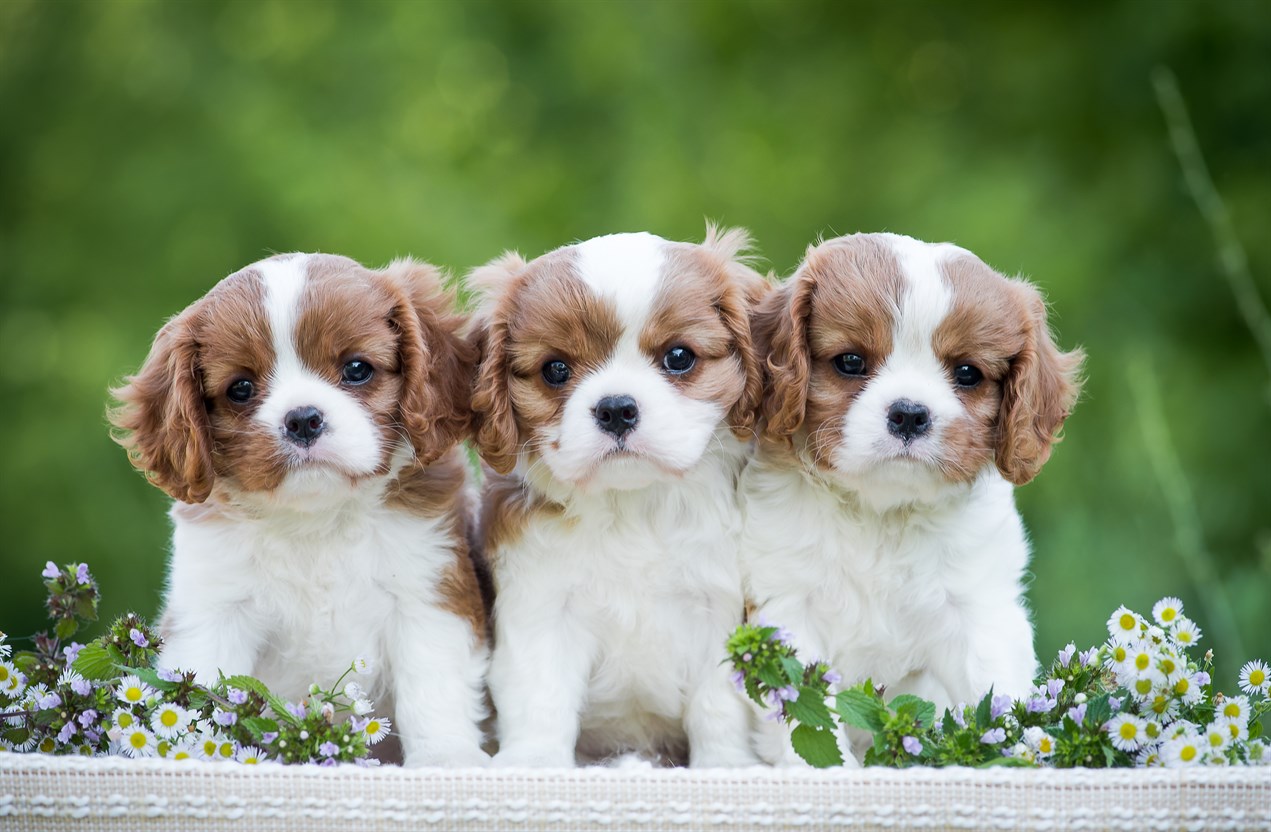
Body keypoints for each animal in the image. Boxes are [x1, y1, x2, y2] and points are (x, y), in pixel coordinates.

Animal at [111, 254, 488, 767]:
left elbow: (433, 687)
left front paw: (445, 757)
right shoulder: (214, 610)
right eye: (241, 388)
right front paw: (192, 753)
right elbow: (203, 687)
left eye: (356, 369)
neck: (316, 518)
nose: (303, 420)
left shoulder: (427, 593)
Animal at [470, 226, 757, 767]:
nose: (617, 408)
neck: (633, 505)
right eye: (555, 370)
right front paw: (535, 761)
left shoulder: (721, 607)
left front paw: (725, 764)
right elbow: (540, 694)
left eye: (679, 357)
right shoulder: (542, 607)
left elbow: (719, 702)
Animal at [742, 231, 1082, 767]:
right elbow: (806, 714)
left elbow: (1000, 697)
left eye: (967, 373)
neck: (881, 513)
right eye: (851, 362)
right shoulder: (787, 609)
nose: (908, 414)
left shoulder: (980, 611)